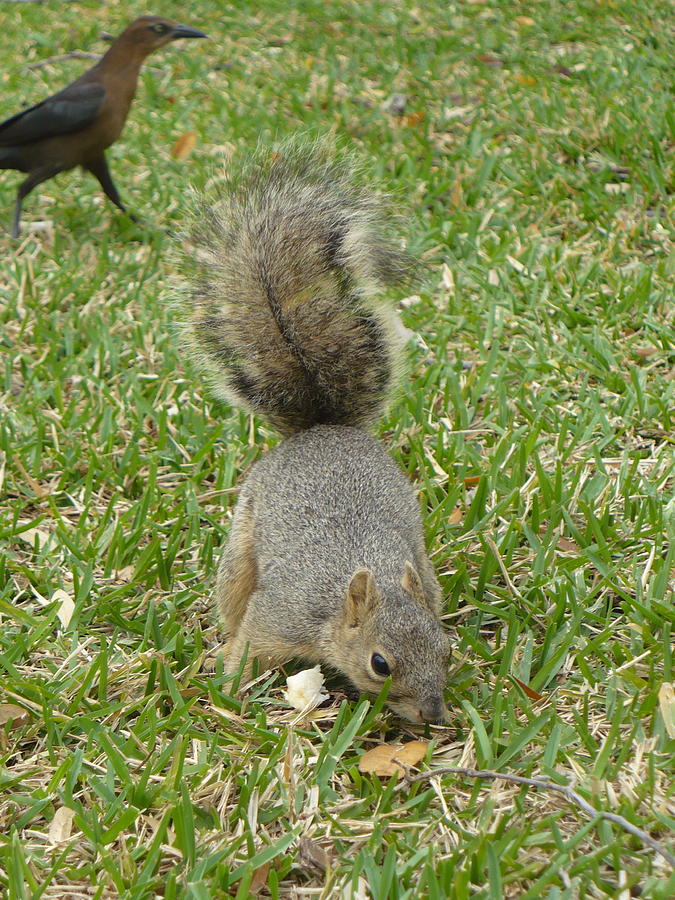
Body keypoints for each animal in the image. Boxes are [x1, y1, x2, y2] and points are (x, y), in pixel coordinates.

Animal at [184, 141, 451, 724]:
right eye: (380, 664)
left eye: (446, 647)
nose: (435, 716)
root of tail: (320, 430)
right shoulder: (281, 615)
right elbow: (249, 644)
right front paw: (227, 689)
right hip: (243, 542)